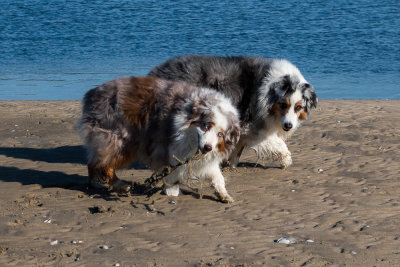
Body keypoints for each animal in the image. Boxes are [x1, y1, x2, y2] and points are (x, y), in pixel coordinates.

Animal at [78, 76, 241, 204]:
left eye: (220, 134)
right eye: (206, 126)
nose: (208, 147)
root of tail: (93, 93)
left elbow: (217, 176)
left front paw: (223, 195)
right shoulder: (173, 149)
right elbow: (172, 173)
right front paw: (172, 192)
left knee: (94, 160)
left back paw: (95, 183)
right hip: (120, 140)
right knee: (105, 163)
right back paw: (119, 185)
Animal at [148, 55, 318, 169]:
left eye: (298, 107)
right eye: (283, 104)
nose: (288, 126)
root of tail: (156, 71)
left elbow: (238, 148)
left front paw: (230, 164)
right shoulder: (251, 125)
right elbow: (277, 142)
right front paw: (286, 159)